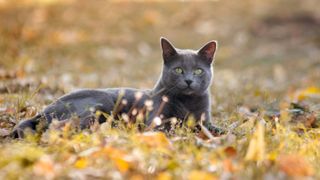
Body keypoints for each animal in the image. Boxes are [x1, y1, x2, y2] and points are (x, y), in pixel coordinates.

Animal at [11, 37, 222, 138]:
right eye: (178, 70)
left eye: (198, 71)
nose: (189, 80)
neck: (188, 103)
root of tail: (45, 110)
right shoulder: (154, 121)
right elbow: (171, 126)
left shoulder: (205, 120)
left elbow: (210, 127)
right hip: (99, 104)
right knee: (57, 126)